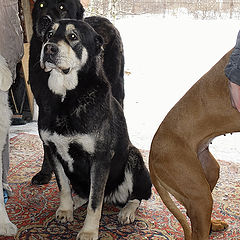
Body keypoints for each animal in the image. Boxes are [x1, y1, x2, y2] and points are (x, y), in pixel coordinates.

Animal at [29, 0, 124, 185]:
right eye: (41, 5)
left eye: (62, 7)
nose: (44, 20)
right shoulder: (44, 110)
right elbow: (47, 146)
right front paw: (45, 172)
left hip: (117, 86)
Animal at [39, 19, 152, 239]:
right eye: (49, 34)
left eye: (73, 37)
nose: (48, 48)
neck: (67, 97)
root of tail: (112, 197)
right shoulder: (52, 150)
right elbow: (63, 187)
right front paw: (65, 209)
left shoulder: (100, 158)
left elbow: (94, 202)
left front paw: (89, 231)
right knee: (83, 193)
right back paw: (74, 203)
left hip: (134, 158)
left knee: (137, 196)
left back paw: (127, 211)